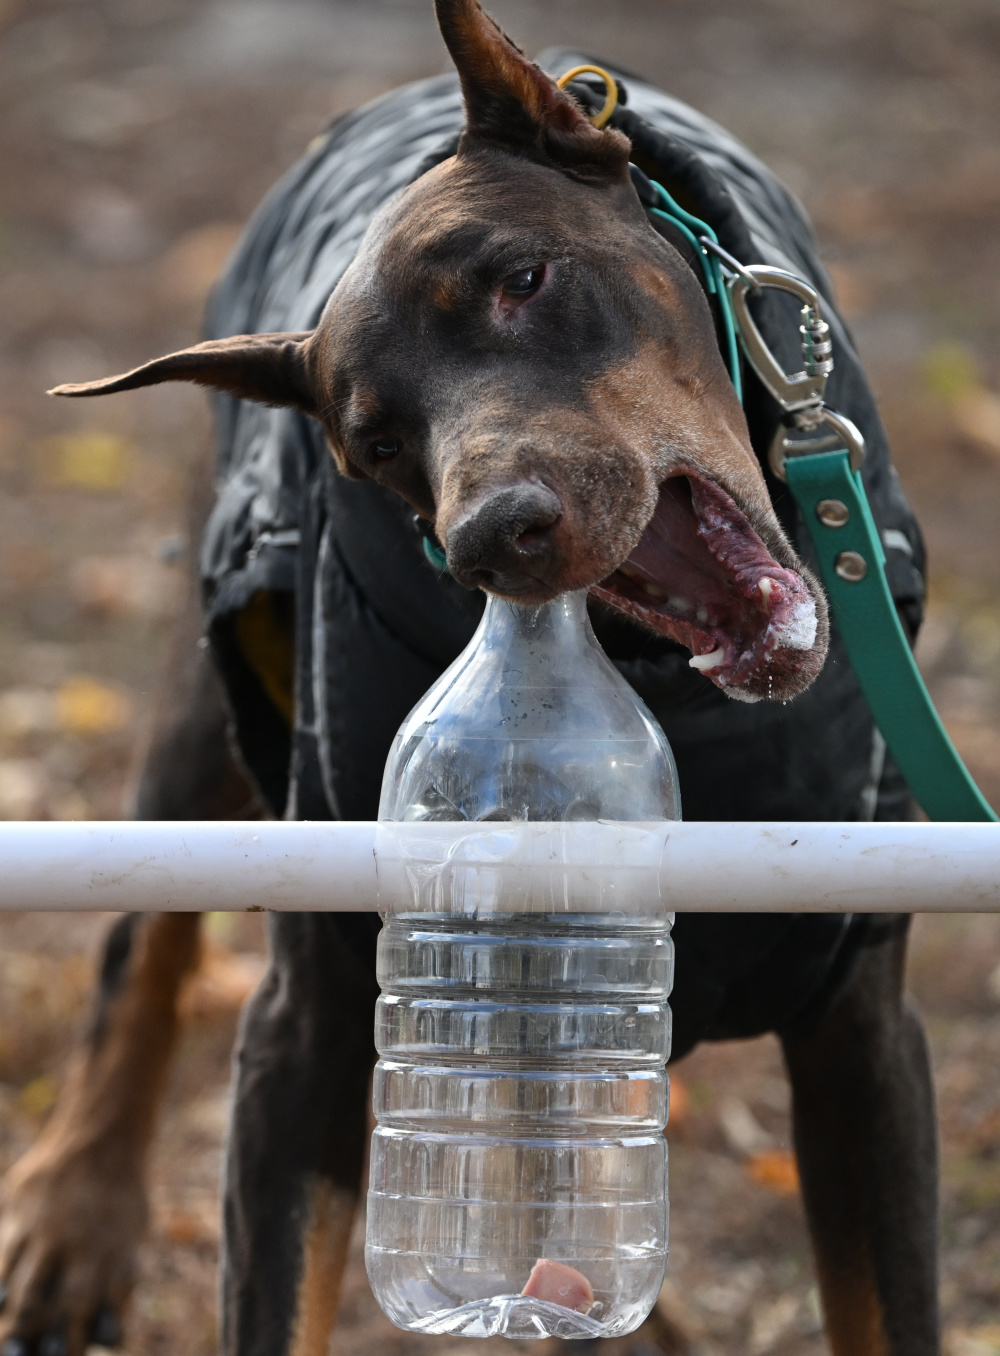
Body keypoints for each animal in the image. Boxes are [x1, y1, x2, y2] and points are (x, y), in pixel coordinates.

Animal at [0, 2, 933, 1356]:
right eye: (378, 441)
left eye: (522, 279)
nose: (495, 529)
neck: (665, 693)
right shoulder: (312, 1025)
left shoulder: (861, 1030)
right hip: (211, 702)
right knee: (142, 942)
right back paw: (77, 1222)